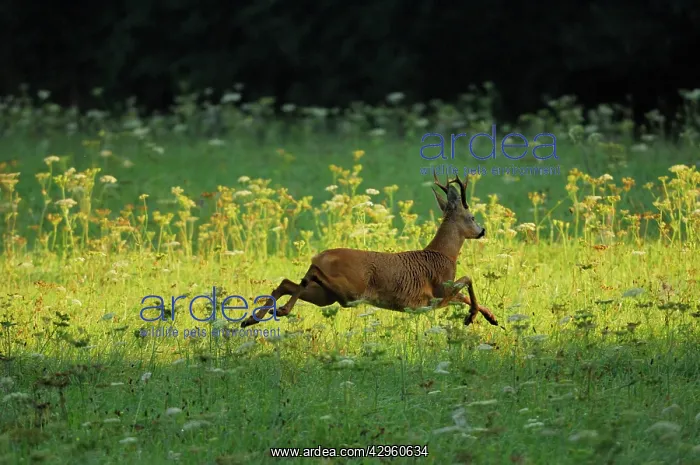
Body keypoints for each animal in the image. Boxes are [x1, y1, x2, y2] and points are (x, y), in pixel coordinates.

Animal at [240, 173, 499, 329]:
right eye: (472, 217)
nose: (482, 230)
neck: (442, 254)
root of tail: (320, 256)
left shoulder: (441, 297)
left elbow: (464, 295)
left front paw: (490, 317)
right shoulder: (438, 290)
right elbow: (468, 280)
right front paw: (471, 317)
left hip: (326, 296)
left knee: (288, 282)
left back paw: (252, 319)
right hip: (351, 290)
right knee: (306, 277)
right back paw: (278, 310)